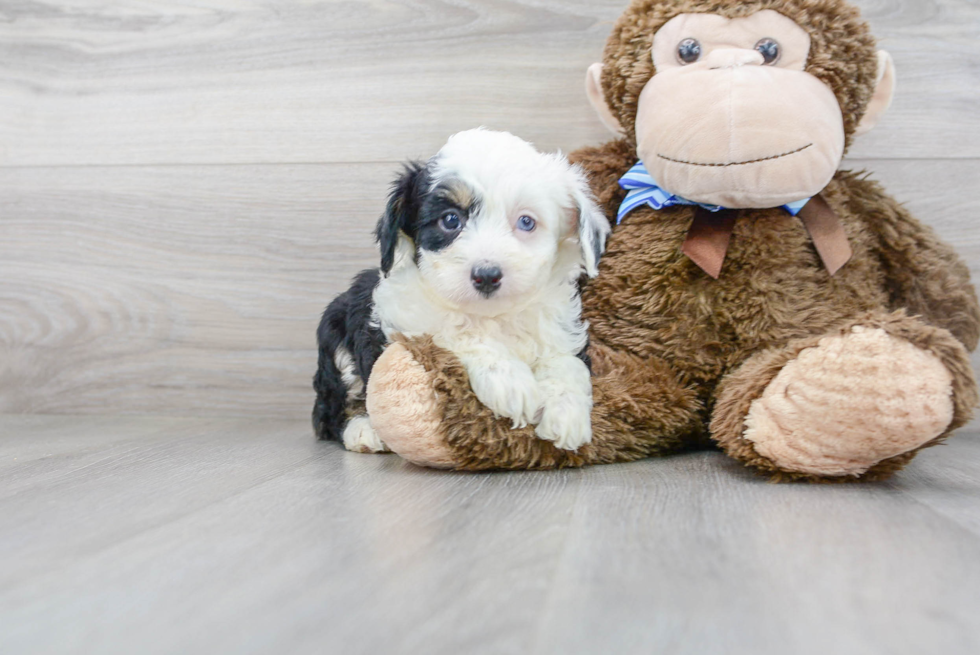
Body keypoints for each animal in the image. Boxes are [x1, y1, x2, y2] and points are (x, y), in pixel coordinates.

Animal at [314, 129, 608, 456]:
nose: (487, 275)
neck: (494, 315)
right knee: (331, 410)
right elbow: (457, 329)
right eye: (451, 220)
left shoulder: (561, 333)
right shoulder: (407, 318)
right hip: (335, 339)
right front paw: (508, 379)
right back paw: (362, 429)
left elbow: (567, 365)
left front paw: (566, 412)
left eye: (526, 221)